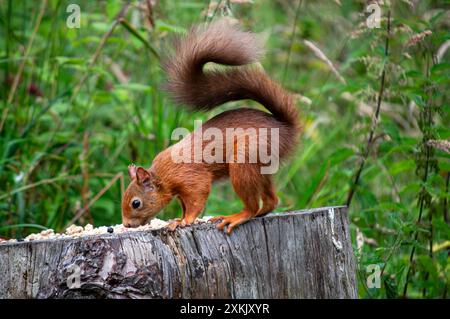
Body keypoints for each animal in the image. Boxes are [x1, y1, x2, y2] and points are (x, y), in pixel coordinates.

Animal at [121, 20, 300, 235]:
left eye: (136, 203)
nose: (126, 225)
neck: (163, 176)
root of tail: (285, 127)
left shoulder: (192, 179)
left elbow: (196, 201)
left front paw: (186, 220)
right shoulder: (181, 191)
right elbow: (184, 205)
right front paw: (178, 219)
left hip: (245, 159)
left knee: (251, 205)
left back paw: (237, 216)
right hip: (262, 165)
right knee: (271, 201)